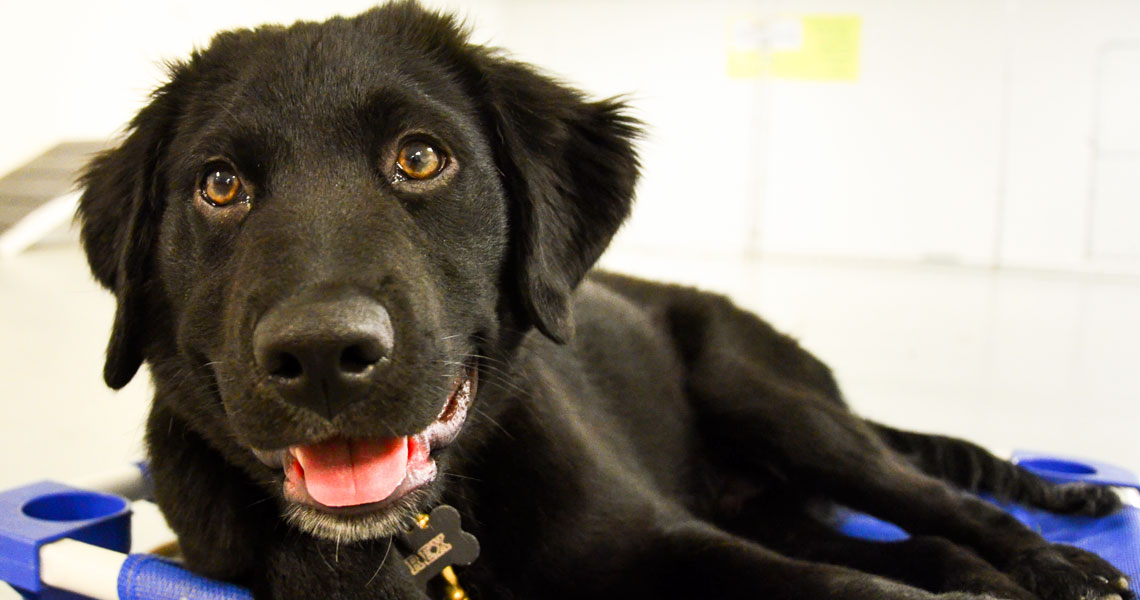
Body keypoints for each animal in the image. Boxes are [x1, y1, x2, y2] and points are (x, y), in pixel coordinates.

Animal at [78, 4, 1130, 600]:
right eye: (219, 186)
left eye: (420, 157)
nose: (325, 355)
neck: (430, 539)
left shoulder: (661, 540)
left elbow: (855, 587)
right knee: (916, 541)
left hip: (776, 404)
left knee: (939, 503)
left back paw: (1060, 563)